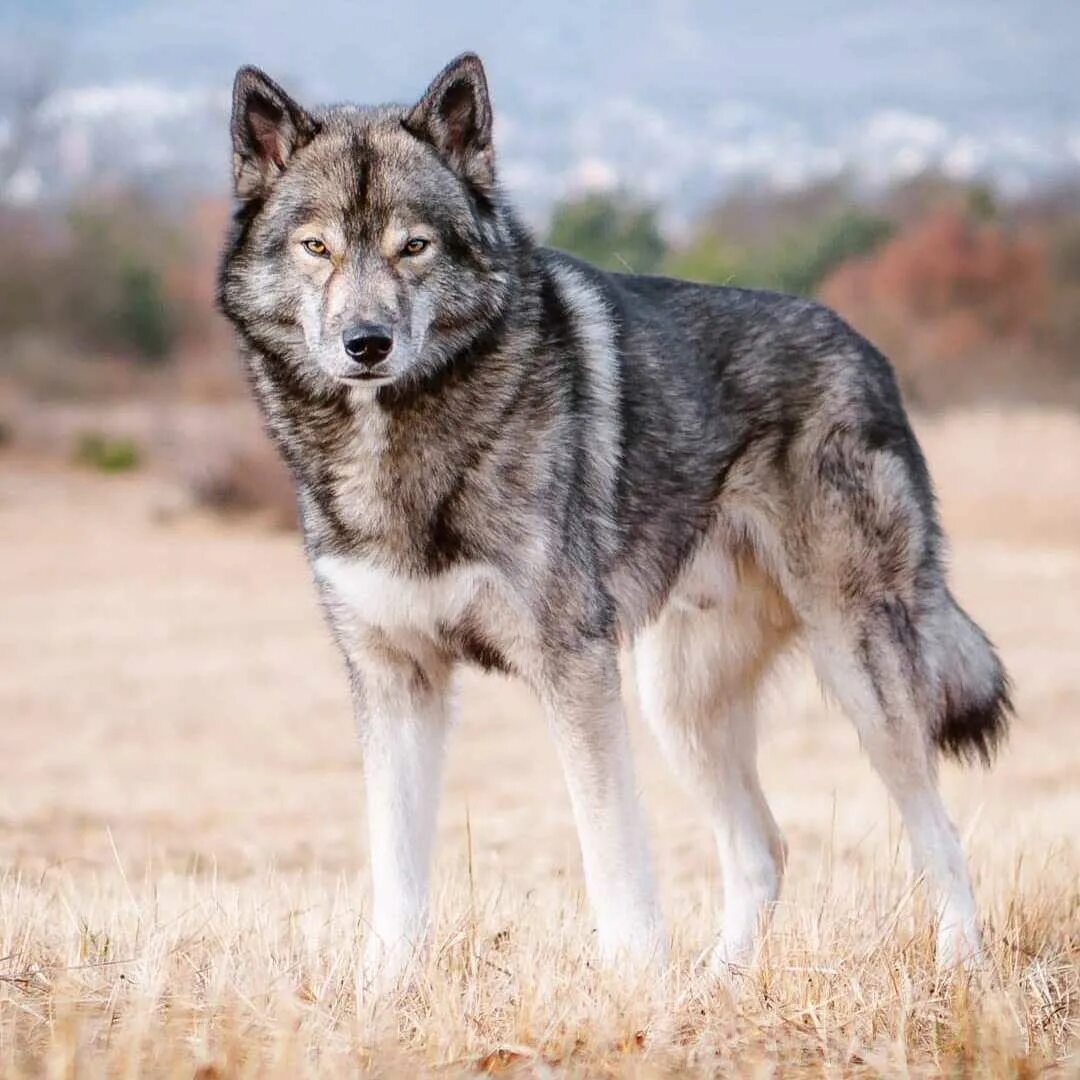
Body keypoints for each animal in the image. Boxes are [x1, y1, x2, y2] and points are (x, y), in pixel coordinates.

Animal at [219, 52, 1010, 989]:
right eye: (318, 247)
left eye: (413, 246)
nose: (365, 344)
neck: (406, 447)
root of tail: (873, 357)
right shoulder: (396, 680)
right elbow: (397, 872)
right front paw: (384, 992)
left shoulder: (574, 670)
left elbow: (613, 857)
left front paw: (632, 986)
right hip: (680, 706)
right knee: (765, 849)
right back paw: (716, 987)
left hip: (859, 675)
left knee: (939, 832)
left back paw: (960, 970)